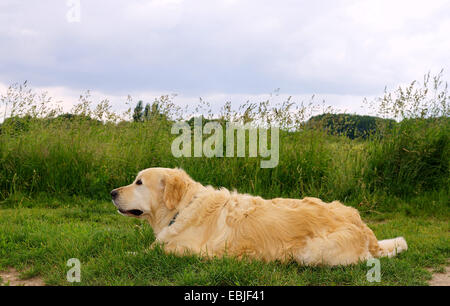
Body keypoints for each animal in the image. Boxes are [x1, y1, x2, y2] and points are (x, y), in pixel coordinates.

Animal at [110, 167, 408, 266]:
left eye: (139, 182)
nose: (112, 192)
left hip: (312, 253)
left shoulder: (193, 251)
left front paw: (126, 255)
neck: (181, 209)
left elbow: (154, 251)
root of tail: (363, 227)